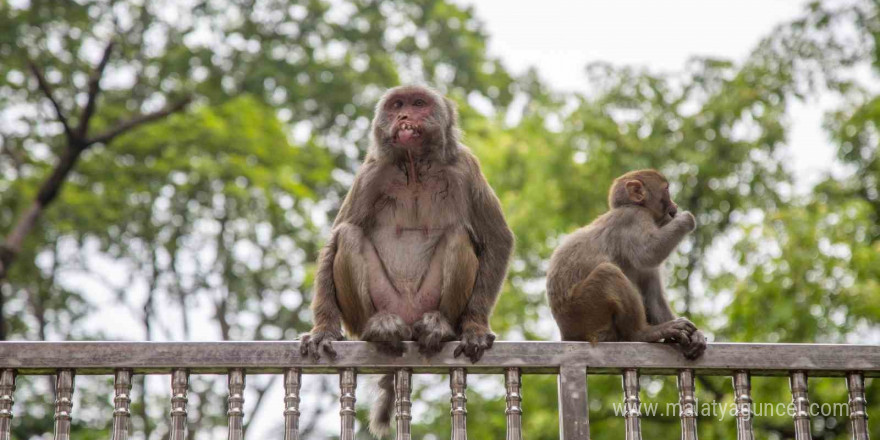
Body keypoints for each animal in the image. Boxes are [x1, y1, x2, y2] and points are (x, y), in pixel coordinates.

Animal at [300, 84, 512, 434]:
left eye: (418, 104)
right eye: (398, 105)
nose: (404, 117)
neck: (414, 166)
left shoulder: (466, 167)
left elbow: (497, 239)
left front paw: (475, 328)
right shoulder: (371, 172)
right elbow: (336, 236)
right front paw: (323, 331)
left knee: (458, 235)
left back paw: (439, 327)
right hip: (377, 307)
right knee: (349, 235)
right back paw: (379, 328)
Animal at [548, 170, 704, 360]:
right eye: (666, 190)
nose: (675, 205)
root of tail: (567, 333)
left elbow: (652, 293)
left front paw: (696, 336)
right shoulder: (634, 217)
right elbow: (648, 252)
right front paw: (686, 218)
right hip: (582, 312)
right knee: (608, 272)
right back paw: (641, 333)